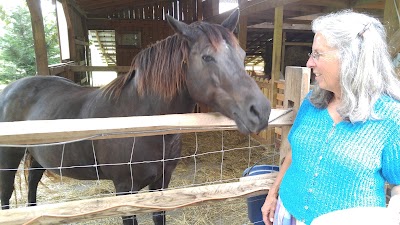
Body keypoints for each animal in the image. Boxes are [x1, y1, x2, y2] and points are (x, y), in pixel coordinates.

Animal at [0, 9, 272, 225]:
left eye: (242, 54)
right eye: (207, 57)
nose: (261, 111)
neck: (141, 121)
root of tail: (10, 89)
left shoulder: (162, 184)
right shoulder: (124, 191)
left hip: (38, 155)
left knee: (33, 182)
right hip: (9, 159)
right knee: (6, 195)